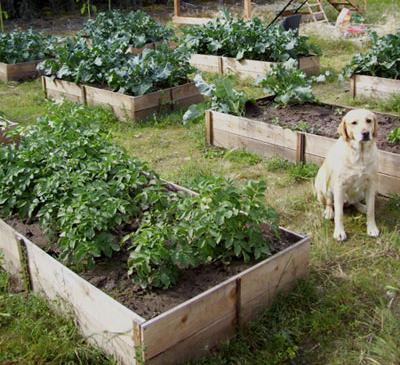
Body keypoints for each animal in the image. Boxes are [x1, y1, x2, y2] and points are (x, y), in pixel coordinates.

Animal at [314, 109, 380, 242]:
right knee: (329, 202)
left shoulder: (371, 184)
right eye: (354, 123)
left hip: (360, 192)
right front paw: (339, 232)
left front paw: (372, 228)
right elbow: (339, 213)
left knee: (355, 202)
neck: (360, 154)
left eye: (369, 120)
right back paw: (329, 212)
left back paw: (362, 207)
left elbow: (371, 210)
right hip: (324, 183)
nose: (365, 133)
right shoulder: (340, 186)